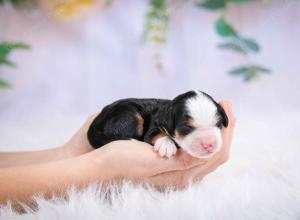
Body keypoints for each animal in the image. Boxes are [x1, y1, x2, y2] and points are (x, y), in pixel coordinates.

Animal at [86, 90, 227, 159]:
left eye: (218, 123)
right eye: (186, 127)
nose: (209, 144)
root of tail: (94, 126)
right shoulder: (153, 126)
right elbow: (156, 134)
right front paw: (166, 144)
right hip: (128, 114)